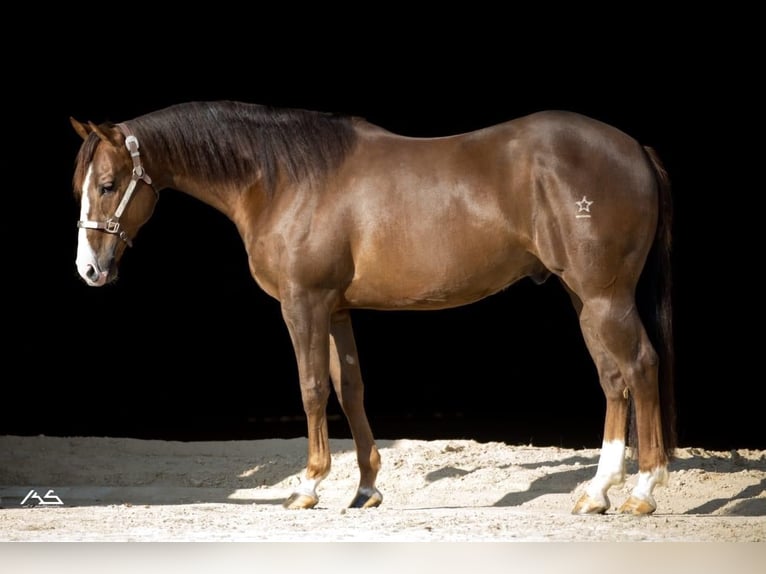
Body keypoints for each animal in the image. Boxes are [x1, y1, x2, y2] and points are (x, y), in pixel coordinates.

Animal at [69, 100, 676, 516]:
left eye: (108, 184)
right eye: (82, 185)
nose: (89, 269)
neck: (285, 180)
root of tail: (636, 149)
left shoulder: (304, 304)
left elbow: (312, 389)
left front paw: (309, 486)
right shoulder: (336, 310)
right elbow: (350, 389)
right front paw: (365, 488)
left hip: (605, 296)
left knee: (641, 367)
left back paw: (644, 490)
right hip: (584, 296)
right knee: (613, 379)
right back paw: (596, 492)